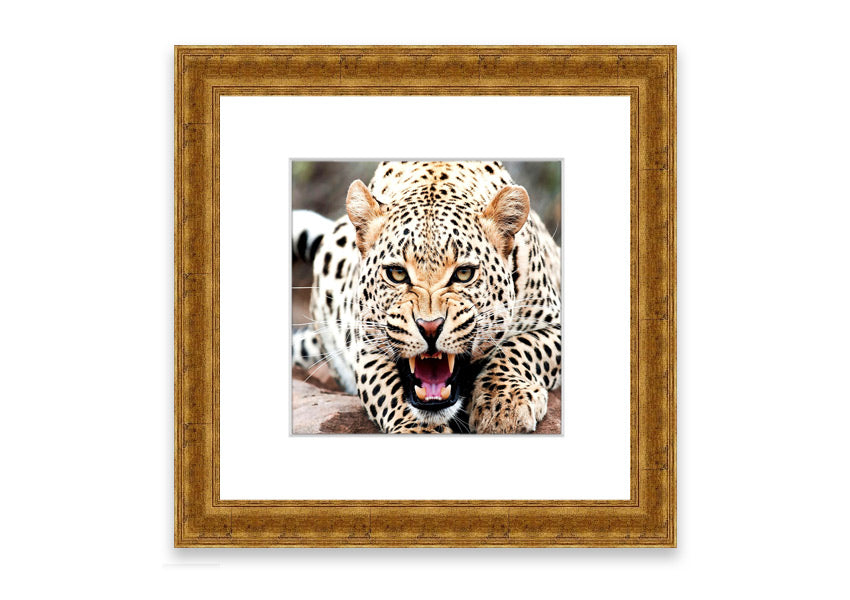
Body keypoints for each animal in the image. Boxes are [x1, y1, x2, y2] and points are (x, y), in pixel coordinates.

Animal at [292, 161, 561, 433]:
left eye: (464, 273)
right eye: (397, 274)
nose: (430, 328)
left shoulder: (554, 323)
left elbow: (519, 348)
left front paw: (502, 404)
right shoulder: (367, 347)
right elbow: (388, 390)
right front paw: (418, 429)